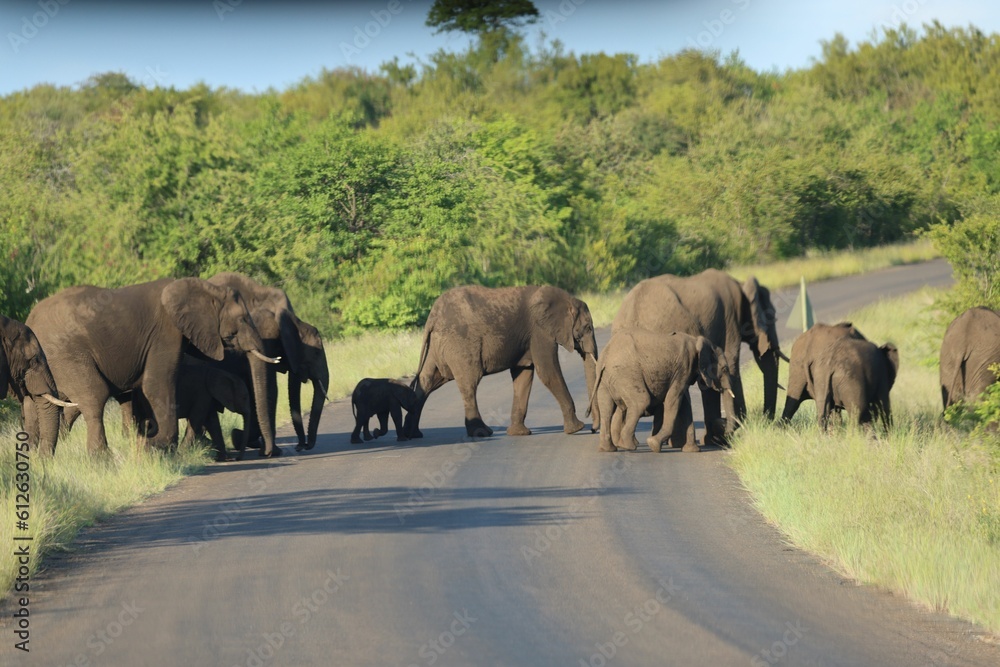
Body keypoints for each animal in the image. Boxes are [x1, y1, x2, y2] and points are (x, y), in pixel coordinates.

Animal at [25, 278, 278, 455]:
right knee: (93, 396)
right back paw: (101, 460)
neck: (207, 287)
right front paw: (155, 445)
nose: (266, 452)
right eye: (243, 319)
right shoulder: (166, 333)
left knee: (43, 404)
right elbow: (156, 383)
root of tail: (29, 320)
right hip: (65, 353)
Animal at [403, 285, 599, 439]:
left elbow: (523, 376)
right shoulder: (540, 331)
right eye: (588, 327)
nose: (593, 428)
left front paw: (519, 433)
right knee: (469, 383)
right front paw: (576, 429)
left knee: (427, 382)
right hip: (459, 343)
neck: (566, 299)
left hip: (436, 346)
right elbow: (547, 371)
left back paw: (411, 435)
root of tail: (433, 316)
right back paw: (482, 433)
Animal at [591, 330, 732, 453]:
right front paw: (653, 444)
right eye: (725, 369)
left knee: (607, 408)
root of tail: (605, 353)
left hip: (606, 378)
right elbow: (673, 401)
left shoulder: (684, 373)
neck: (697, 340)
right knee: (641, 402)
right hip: (626, 374)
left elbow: (685, 405)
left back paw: (608, 449)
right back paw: (627, 446)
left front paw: (692, 451)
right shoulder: (683, 368)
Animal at [612, 269, 785, 444]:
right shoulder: (730, 321)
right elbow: (730, 366)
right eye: (772, 316)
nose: (769, 423)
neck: (741, 284)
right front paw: (723, 436)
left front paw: (714, 437)